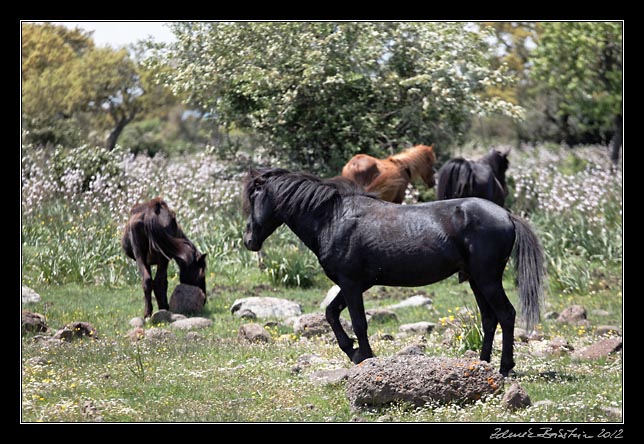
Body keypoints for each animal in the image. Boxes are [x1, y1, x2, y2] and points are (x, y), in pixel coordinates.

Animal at [244, 168, 544, 376]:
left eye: (254, 196)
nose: (249, 240)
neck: (332, 219)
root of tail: (506, 215)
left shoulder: (351, 285)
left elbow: (359, 323)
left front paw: (362, 357)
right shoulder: (354, 285)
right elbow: (331, 313)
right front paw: (352, 351)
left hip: (487, 279)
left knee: (506, 314)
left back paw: (504, 367)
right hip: (476, 281)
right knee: (489, 318)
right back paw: (482, 364)